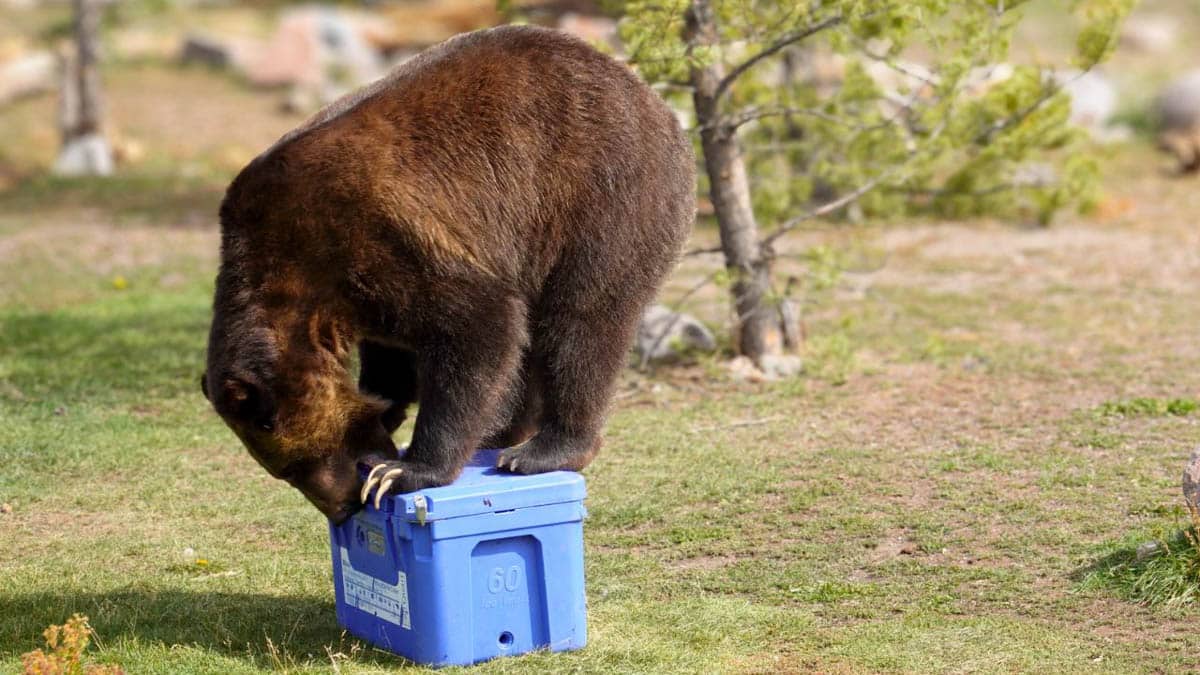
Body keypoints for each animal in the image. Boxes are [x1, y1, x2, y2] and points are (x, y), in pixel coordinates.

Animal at [201, 25, 695, 523]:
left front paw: (402, 471)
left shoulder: (372, 236)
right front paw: (387, 406)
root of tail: (651, 98)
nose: (342, 508)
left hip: (597, 196)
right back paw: (499, 432)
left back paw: (540, 450)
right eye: (287, 472)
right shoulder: (359, 291)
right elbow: (392, 347)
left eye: (300, 464)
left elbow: (476, 326)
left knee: (581, 324)